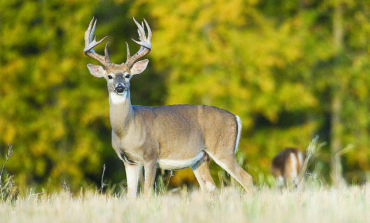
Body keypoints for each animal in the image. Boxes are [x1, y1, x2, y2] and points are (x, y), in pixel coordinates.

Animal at [82, 17, 253, 198]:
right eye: (109, 76)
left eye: (128, 75)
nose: (120, 87)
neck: (127, 128)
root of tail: (235, 117)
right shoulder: (129, 161)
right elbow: (130, 195)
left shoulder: (150, 155)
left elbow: (147, 192)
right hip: (201, 158)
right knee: (210, 186)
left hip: (223, 149)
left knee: (246, 178)